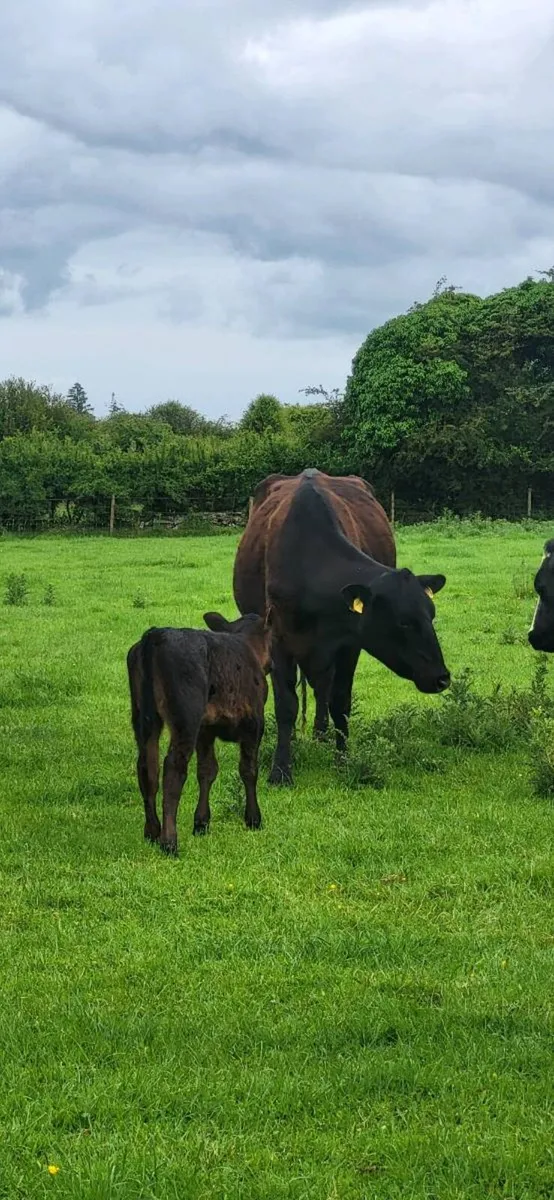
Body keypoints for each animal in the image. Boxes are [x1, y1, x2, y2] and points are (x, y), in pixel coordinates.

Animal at [127, 612, 271, 855]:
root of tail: (157, 633)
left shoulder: (206, 730)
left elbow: (207, 770)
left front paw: (201, 823)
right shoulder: (254, 723)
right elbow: (249, 770)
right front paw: (253, 818)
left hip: (144, 718)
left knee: (147, 767)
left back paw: (152, 831)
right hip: (185, 717)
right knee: (173, 768)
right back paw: (169, 842)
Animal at [233, 469, 450, 785]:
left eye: (431, 615)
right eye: (404, 621)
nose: (442, 678)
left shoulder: (350, 644)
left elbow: (340, 702)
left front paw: (343, 760)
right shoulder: (279, 640)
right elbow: (286, 705)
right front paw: (281, 769)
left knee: (323, 687)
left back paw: (321, 734)